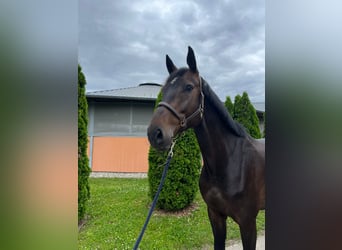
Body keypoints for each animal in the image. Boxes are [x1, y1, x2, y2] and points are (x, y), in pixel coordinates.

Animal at [147, 47, 264, 250]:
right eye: (164, 89)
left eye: (188, 87)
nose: (155, 133)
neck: (230, 161)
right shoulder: (215, 215)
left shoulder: (248, 222)